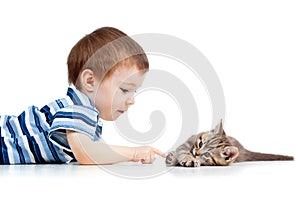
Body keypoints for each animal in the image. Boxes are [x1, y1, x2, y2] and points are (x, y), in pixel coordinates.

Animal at [165, 120, 294, 167]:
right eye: (200, 144)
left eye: (207, 154)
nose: (196, 153)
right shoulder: (188, 143)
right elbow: (182, 150)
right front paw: (182, 157)